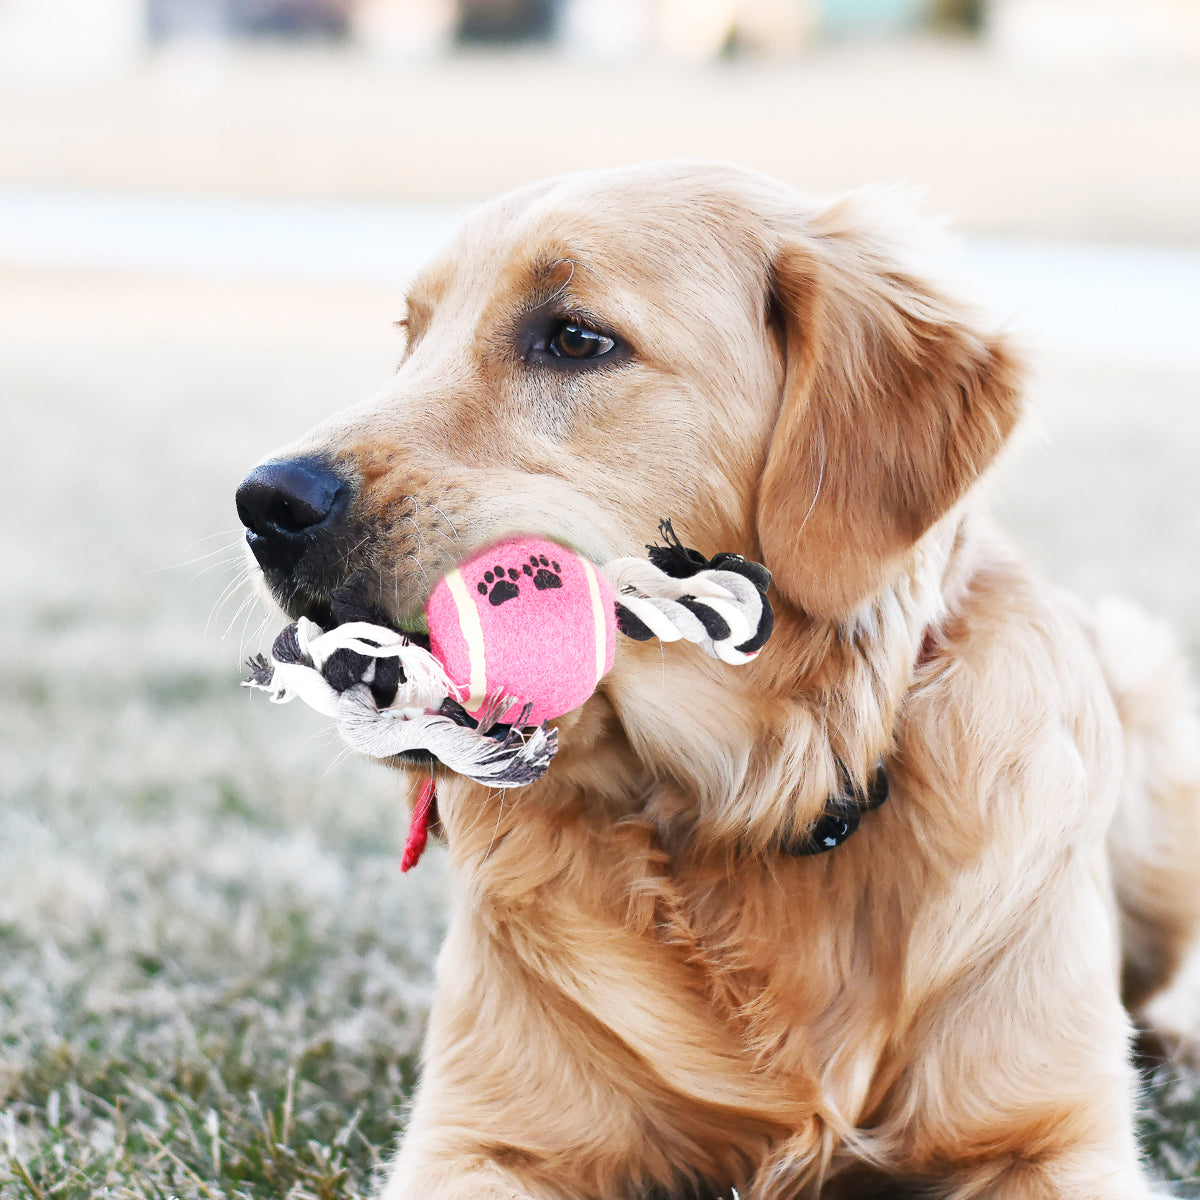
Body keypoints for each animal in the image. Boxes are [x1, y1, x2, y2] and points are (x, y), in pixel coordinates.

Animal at [231, 162, 1200, 1200]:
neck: (751, 807)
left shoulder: (1052, 1139)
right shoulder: (479, 1140)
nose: (265, 502)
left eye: (575, 339)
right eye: (411, 339)